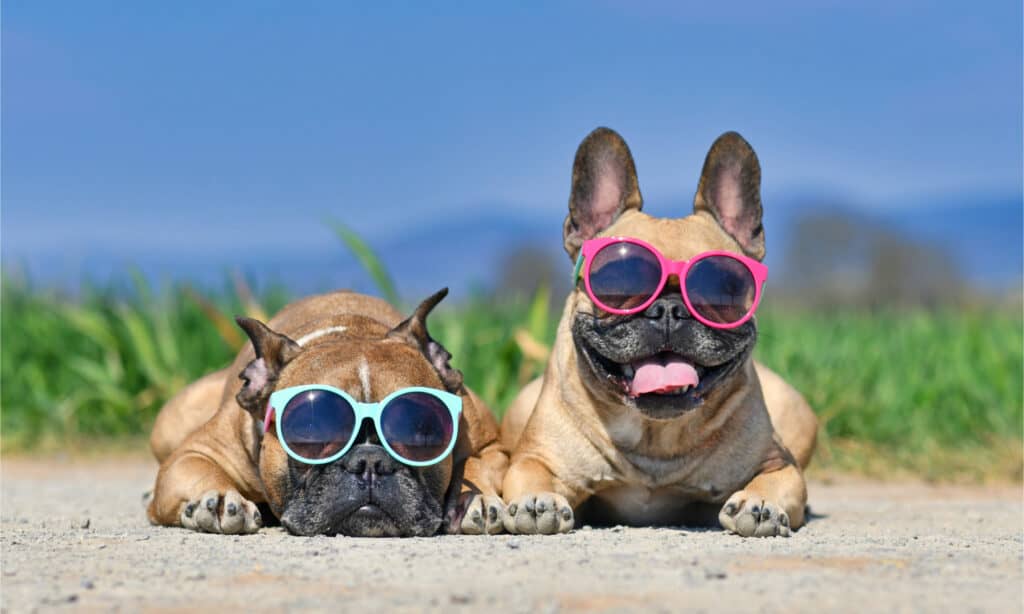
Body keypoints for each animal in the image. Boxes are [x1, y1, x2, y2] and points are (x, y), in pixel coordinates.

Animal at [147, 290, 507, 536]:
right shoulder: (193, 453)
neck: (351, 329)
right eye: (311, 434)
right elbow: (198, 468)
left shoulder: (489, 444)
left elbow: (476, 463)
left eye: (421, 433)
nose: (370, 462)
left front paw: (473, 499)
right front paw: (218, 497)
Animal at [499, 126, 819, 536]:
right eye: (619, 281)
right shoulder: (535, 458)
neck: (654, 437)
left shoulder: (780, 463)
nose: (668, 309)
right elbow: (529, 473)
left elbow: (777, 479)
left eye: (723, 287)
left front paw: (760, 503)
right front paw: (537, 501)